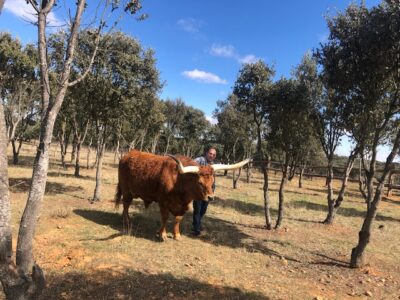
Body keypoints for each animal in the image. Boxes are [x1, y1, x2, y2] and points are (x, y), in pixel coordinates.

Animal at [114, 150, 250, 241]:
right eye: (200, 183)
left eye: (212, 181)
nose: (210, 198)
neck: (179, 181)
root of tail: (127, 155)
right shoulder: (163, 203)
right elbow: (164, 218)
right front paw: (162, 234)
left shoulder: (184, 205)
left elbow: (178, 219)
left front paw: (177, 235)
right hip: (126, 190)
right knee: (126, 204)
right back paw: (127, 221)